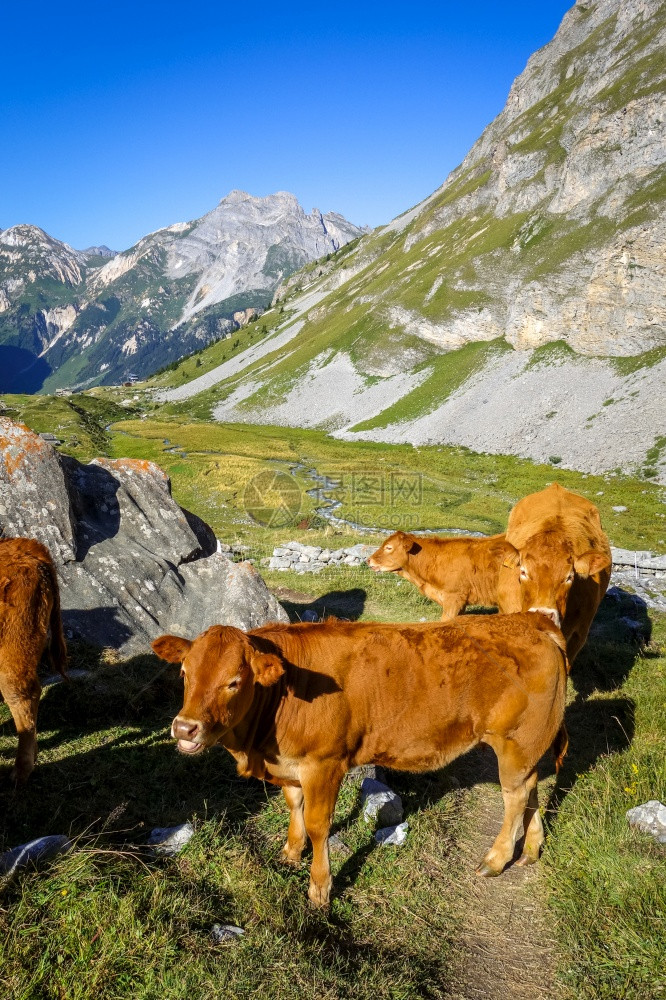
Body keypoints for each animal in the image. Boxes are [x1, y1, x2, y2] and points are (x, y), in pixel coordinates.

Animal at [154, 612, 564, 912]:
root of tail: (529, 620)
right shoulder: (290, 764)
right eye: (185, 672)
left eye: (234, 682)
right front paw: (290, 852)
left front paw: (320, 888)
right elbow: (293, 805)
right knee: (531, 787)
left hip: (516, 742)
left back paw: (496, 859)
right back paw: (531, 849)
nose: (185, 727)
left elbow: (318, 825)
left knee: (514, 797)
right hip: (526, 748)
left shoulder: (324, 763)